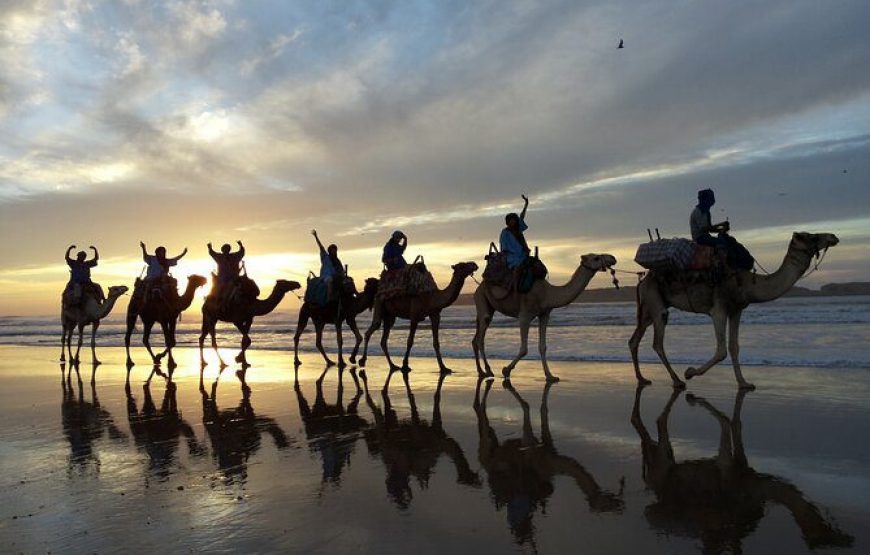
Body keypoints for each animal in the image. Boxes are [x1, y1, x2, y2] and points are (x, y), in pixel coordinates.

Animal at [476, 253, 620, 380]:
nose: (613, 258)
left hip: (488, 305)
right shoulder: (525, 316)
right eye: (596, 258)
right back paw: (486, 371)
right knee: (480, 337)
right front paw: (506, 370)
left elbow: (543, 347)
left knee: (478, 336)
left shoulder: (545, 314)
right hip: (482, 298)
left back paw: (483, 371)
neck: (548, 294)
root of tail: (479, 285)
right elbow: (524, 349)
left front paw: (550, 376)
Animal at [476, 380, 628, 544]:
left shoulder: (547, 447)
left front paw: (550, 378)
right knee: (484, 432)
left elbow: (544, 411)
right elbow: (528, 409)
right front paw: (508, 380)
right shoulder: (532, 452)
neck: (554, 465)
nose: (621, 505)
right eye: (605, 506)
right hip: (487, 454)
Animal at [632, 232, 840, 388]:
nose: (833, 236)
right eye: (810, 236)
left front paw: (744, 383)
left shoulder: (736, 310)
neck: (746, 284)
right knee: (657, 342)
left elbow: (734, 347)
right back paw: (677, 380)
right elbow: (721, 350)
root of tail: (642, 281)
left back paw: (642, 378)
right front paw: (690, 372)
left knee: (635, 339)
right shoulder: (718, 310)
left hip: (648, 307)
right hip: (655, 302)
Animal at [632, 386, 856, 552]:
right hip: (663, 467)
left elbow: (735, 426)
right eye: (824, 538)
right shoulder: (727, 469)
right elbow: (726, 423)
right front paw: (693, 396)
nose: (848, 540)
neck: (758, 489)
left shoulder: (741, 465)